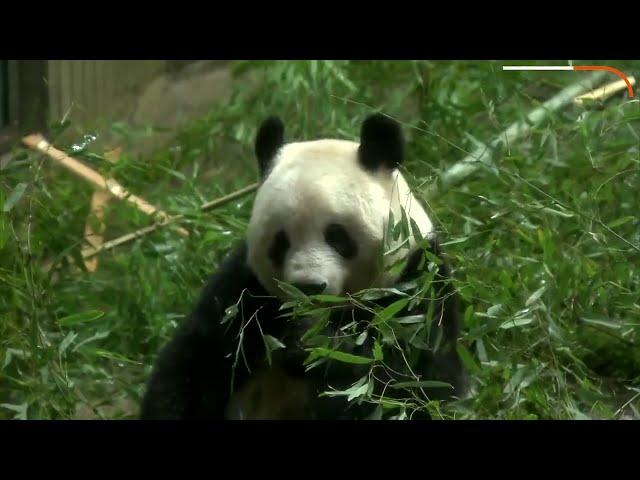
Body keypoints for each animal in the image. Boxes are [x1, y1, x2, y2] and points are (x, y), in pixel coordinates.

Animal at [140, 112, 468, 420]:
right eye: (280, 241)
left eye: (337, 236)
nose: (308, 287)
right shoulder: (244, 293)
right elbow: (193, 363)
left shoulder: (416, 285)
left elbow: (404, 380)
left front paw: (315, 344)